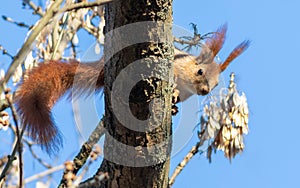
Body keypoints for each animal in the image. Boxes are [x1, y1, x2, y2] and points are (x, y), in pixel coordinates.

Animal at [14, 24, 250, 153]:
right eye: (200, 72)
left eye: (217, 85)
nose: (205, 91)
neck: (187, 84)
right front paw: (173, 90)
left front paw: (175, 107)